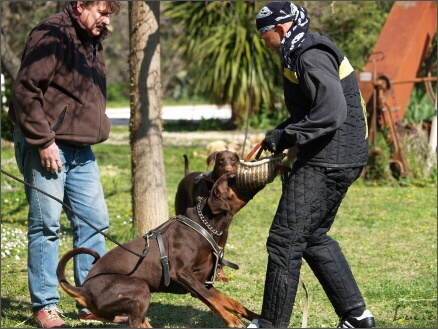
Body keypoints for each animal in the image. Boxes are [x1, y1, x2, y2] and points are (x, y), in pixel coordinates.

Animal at [58, 173, 264, 326]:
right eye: (231, 178)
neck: (203, 225)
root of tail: (83, 290)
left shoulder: (202, 282)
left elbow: (231, 302)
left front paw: (256, 316)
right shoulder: (181, 274)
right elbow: (212, 301)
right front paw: (232, 320)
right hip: (139, 289)